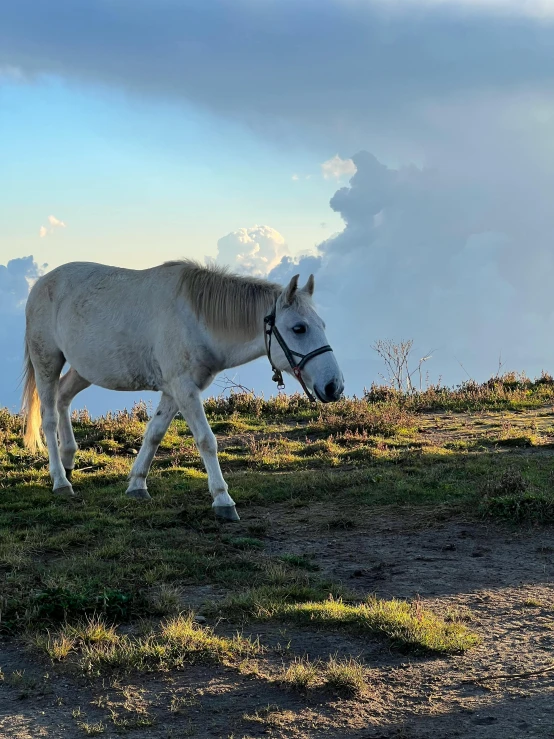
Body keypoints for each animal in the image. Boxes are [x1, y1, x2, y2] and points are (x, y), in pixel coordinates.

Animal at [21, 260, 340, 520]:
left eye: (323, 325)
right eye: (299, 328)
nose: (334, 386)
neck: (195, 319)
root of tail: (41, 283)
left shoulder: (175, 390)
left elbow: (154, 434)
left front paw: (137, 484)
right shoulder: (184, 388)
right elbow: (206, 441)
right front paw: (223, 500)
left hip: (83, 369)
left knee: (64, 398)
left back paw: (69, 460)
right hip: (47, 362)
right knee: (49, 418)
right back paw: (60, 480)